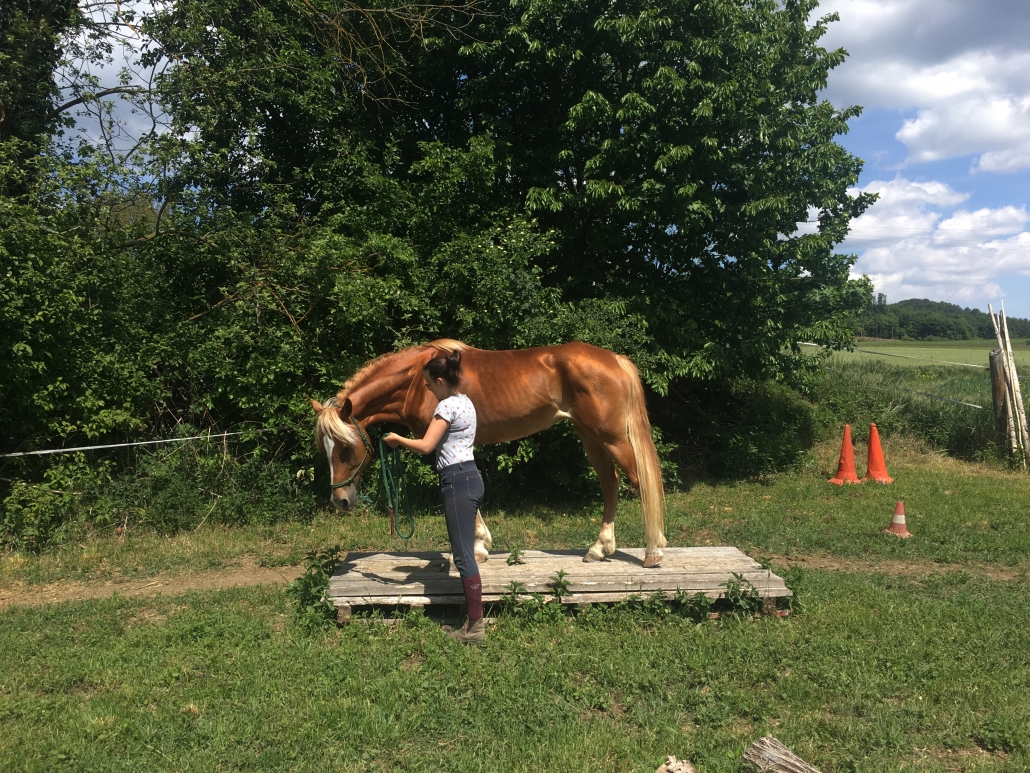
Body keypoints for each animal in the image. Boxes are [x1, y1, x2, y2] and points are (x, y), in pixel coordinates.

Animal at [311, 338, 667, 568]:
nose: (340, 500)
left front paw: (477, 547)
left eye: (346, 446)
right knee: (611, 483)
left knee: (640, 482)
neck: (415, 381)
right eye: (324, 447)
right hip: (590, 436)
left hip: (610, 437)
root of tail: (615, 359)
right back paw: (599, 548)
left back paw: (653, 552)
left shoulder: (442, 442)